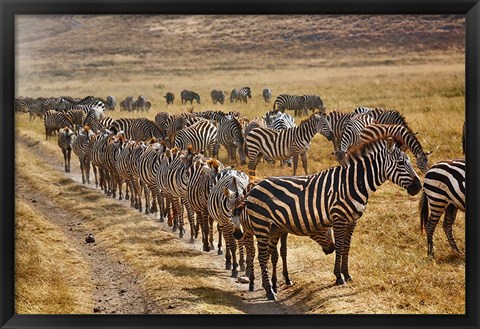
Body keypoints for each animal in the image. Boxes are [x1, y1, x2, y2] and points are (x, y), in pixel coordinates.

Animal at [244, 136, 420, 300]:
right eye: (401, 163)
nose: (418, 187)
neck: (352, 183)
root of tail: (254, 186)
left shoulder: (352, 221)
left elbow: (347, 247)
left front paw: (347, 274)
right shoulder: (339, 218)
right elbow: (340, 246)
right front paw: (339, 277)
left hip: (273, 228)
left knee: (268, 254)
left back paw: (270, 286)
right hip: (261, 225)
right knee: (262, 256)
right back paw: (269, 291)